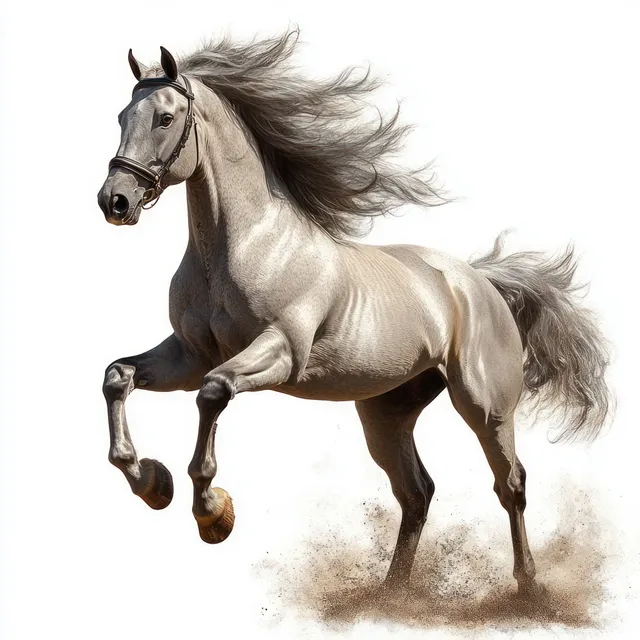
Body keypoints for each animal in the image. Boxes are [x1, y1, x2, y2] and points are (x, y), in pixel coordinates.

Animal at [97, 30, 611, 595]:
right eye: (122, 116)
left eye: (165, 118)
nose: (114, 201)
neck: (246, 245)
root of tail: (480, 283)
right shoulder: (189, 355)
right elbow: (118, 376)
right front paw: (151, 481)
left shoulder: (279, 353)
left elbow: (213, 394)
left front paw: (213, 513)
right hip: (386, 413)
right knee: (417, 492)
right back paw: (393, 594)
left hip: (484, 404)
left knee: (510, 483)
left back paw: (527, 588)